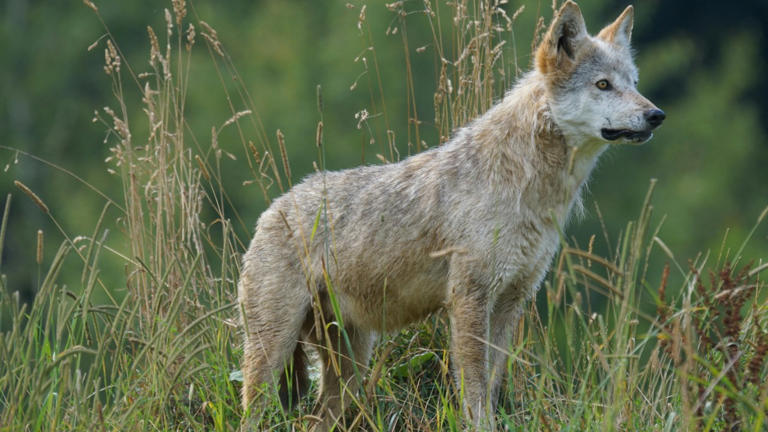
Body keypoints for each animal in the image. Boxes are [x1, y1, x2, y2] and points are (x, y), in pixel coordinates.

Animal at [238, 1, 664, 430]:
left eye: (633, 82)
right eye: (603, 85)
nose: (656, 115)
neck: (528, 186)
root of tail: (272, 210)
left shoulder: (511, 301)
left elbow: (491, 384)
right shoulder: (469, 299)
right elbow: (474, 391)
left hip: (349, 367)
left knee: (315, 418)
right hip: (274, 354)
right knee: (251, 414)